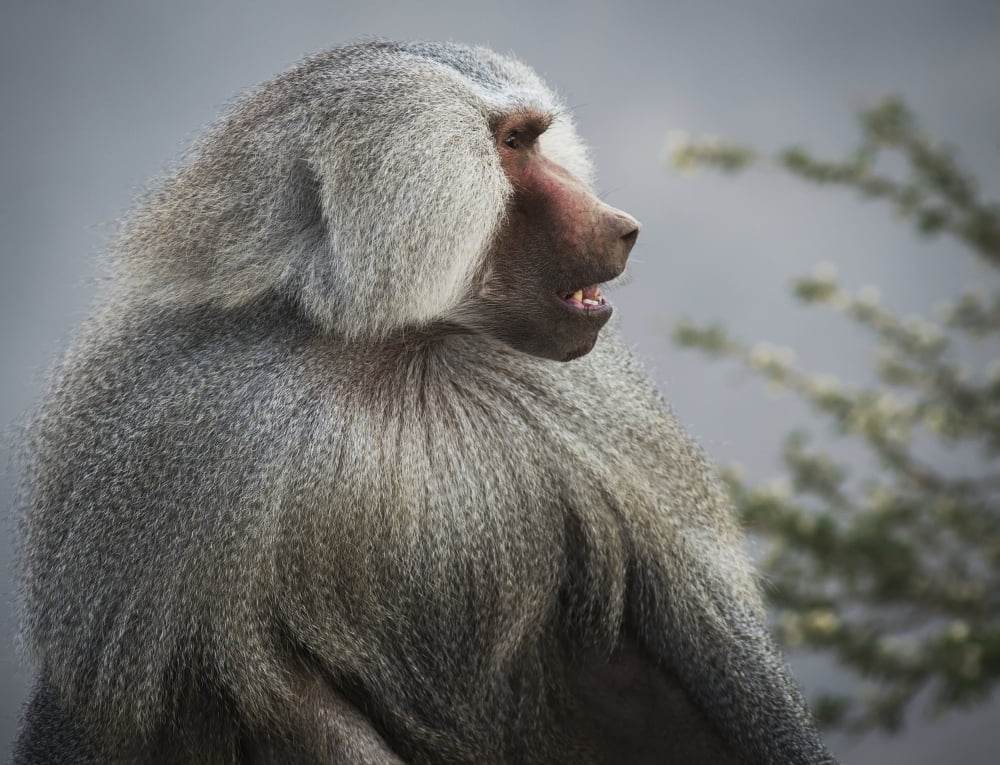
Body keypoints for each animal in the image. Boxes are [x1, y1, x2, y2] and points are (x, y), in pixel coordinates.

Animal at [13, 40, 835, 764]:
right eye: (511, 143)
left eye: (537, 136)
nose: (623, 227)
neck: (396, 349)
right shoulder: (173, 428)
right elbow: (154, 703)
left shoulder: (597, 407)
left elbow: (717, 650)